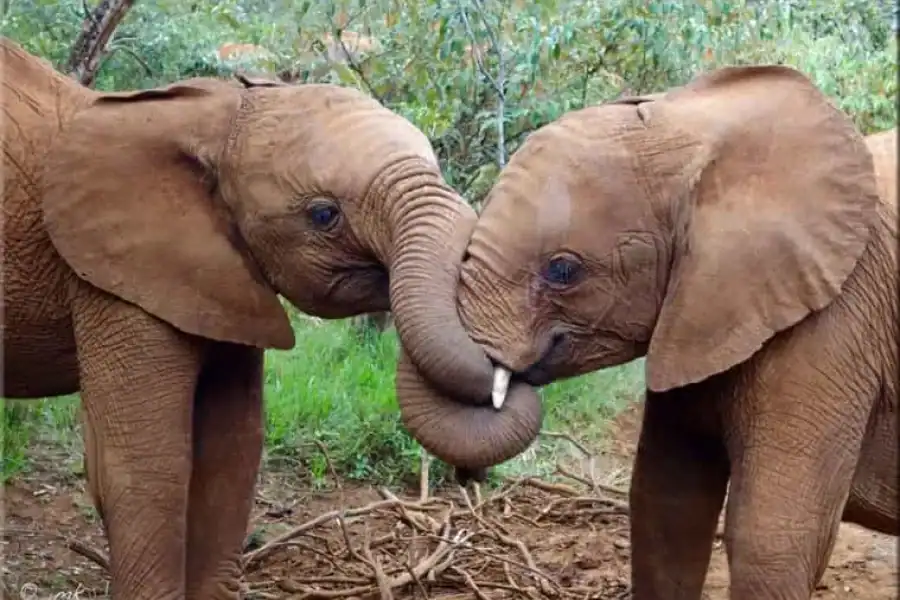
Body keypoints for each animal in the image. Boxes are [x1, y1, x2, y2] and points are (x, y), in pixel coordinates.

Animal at [0, 36, 508, 599]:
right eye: (324, 215)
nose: (469, 479)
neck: (212, 116)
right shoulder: (111, 273)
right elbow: (148, 466)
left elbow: (233, 451)